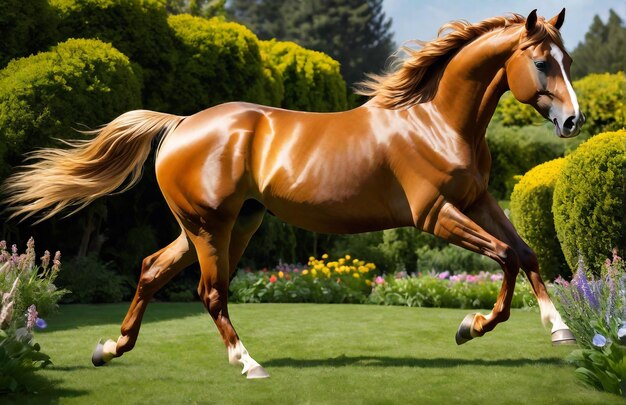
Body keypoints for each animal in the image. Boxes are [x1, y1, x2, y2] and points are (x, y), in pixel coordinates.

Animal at [2, 9, 584, 378]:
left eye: (569, 61)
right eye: (541, 63)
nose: (573, 121)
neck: (435, 119)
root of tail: (181, 124)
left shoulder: (478, 201)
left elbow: (525, 253)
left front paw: (559, 330)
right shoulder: (435, 214)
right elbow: (505, 255)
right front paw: (471, 327)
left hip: (227, 224)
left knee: (151, 270)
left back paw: (109, 349)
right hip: (210, 226)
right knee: (209, 292)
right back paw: (248, 364)